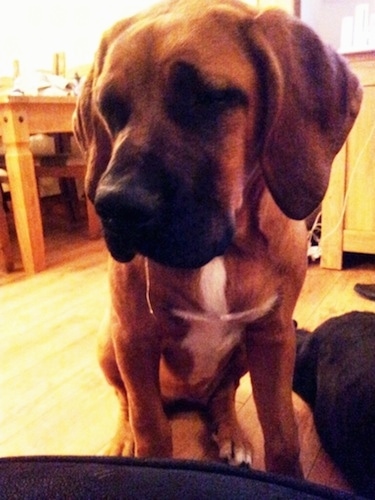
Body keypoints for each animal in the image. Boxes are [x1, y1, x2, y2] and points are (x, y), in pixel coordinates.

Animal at [74, 0, 364, 476]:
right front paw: (143, 449)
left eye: (209, 98)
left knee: (222, 395)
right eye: (109, 109)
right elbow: (149, 425)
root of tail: (184, 397)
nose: (114, 206)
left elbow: (282, 433)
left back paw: (231, 433)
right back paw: (123, 437)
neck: (224, 253)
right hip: (109, 341)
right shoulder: (134, 335)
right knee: (126, 401)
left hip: (245, 352)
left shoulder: (273, 336)